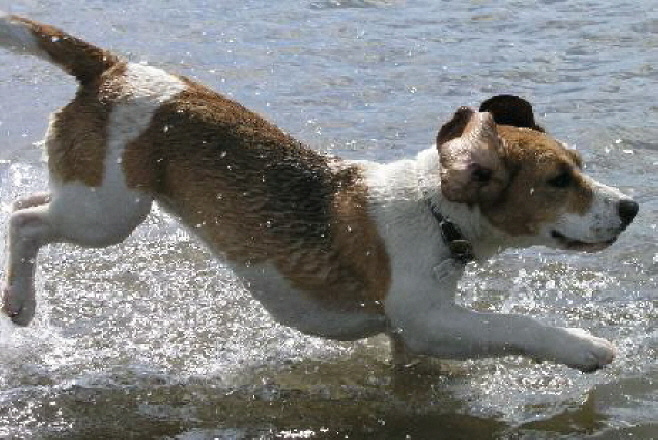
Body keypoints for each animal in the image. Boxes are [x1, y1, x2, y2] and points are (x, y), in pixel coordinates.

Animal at [0, 12, 636, 372]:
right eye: (558, 181)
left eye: (581, 166)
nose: (631, 208)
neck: (435, 212)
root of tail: (111, 67)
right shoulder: (429, 323)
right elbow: (515, 326)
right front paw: (585, 347)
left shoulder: (410, 340)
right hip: (108, 214)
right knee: (25, 221)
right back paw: (20, 301)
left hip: (88, 202)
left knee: (22, 206)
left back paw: (18, 295)